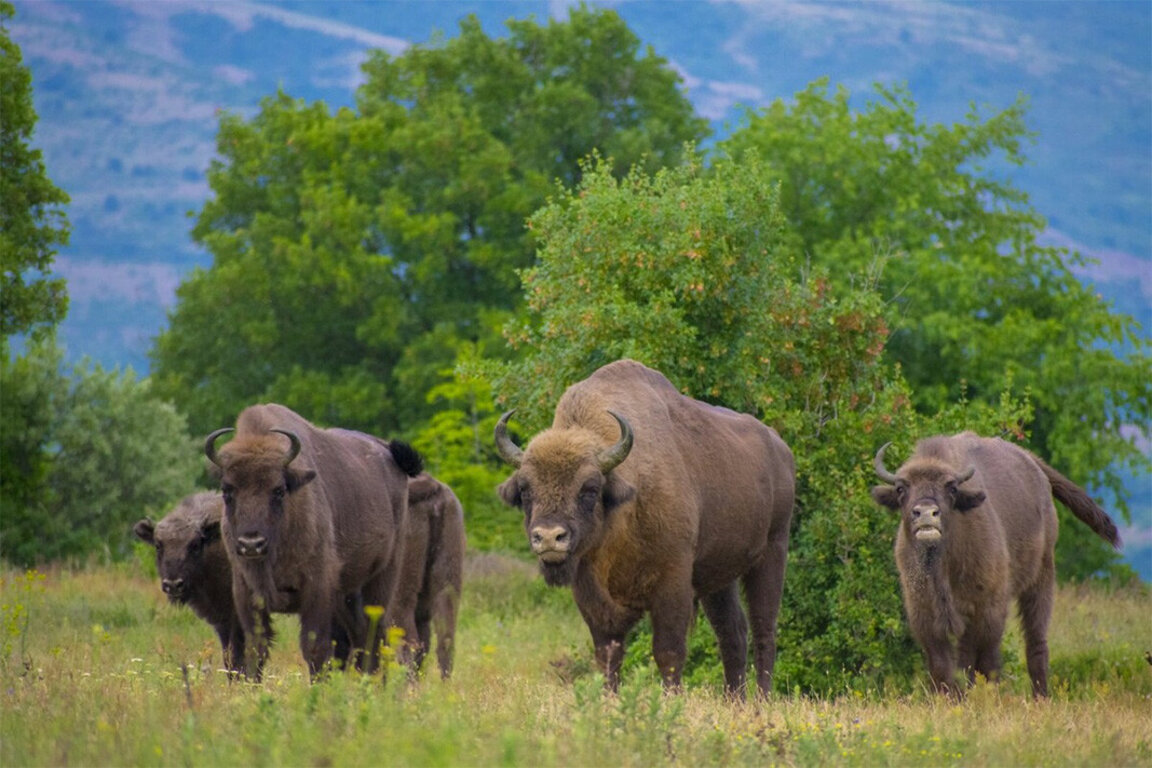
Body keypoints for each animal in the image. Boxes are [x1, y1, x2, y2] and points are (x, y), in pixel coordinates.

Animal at [204, 404, 423, 679]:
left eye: (279, 490)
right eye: (227, 491)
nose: (251, 544)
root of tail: (389, 454)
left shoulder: (316, 589)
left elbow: (314, 648)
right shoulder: (247, 593)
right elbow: (256, 650)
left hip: (381, 578)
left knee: (375, 637)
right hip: (347, 594)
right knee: (361, 638)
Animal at [495, 359, 795, 697]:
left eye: (590, 488)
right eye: (525, 490)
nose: (549, 537)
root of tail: (782, 449)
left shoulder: (672, 584)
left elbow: (668, 652)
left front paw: (671, 701)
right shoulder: (593, 599)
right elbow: (608, 656)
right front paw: (610, 700)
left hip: (772, 552)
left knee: (764, 629)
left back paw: (762, 700)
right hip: (719, 576)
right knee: (733, 632)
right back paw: (736, 700)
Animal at [871, 432, 1120, 697]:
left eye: (951, 487)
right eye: (901, 488)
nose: (926, 513)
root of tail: (1032, 463)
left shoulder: (986, 609)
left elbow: (980, 660)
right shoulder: (925, 616)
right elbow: (942, 665)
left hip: (1041, 578)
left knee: (1035, 642)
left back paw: (1040, 696)